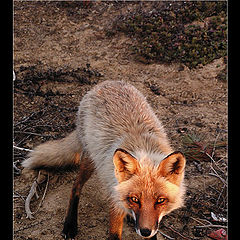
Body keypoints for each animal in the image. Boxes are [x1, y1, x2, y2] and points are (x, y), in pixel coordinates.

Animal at [22, 81, 186, 240]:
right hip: (90, 160)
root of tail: (105, 83)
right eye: (134, 199)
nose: (145, 231)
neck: (143, 148)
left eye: (160, 200)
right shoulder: (115, 202)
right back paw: (70, 225)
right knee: (76, 187)